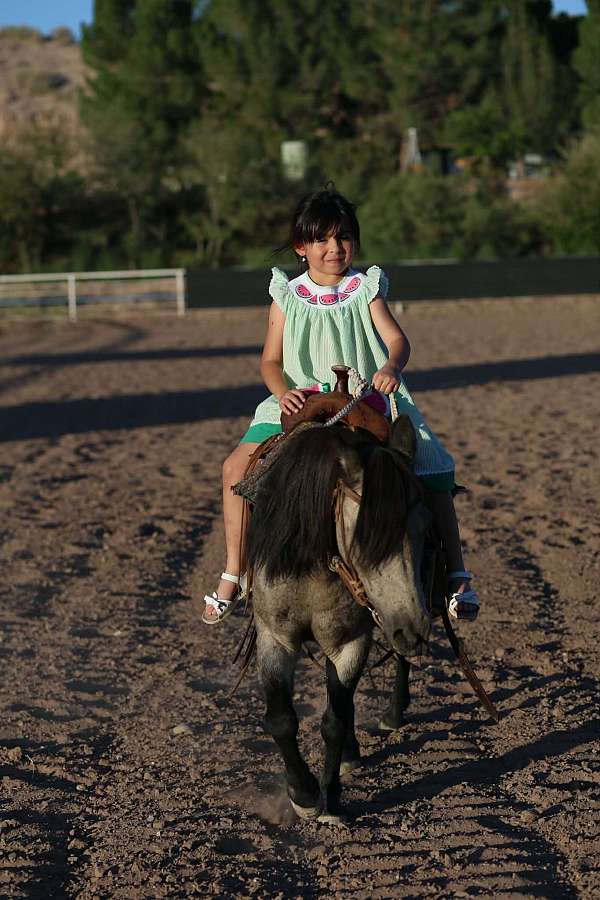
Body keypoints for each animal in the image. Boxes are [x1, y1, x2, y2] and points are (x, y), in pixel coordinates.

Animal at [246, 414, 432, 820]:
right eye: (365, 537)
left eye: (424, 529)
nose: (413, 630)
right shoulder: (274, 636)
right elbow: (281, 719)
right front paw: (302, 794)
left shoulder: (352, 640)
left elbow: (334, 719)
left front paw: (329, 798)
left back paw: (390, 714)